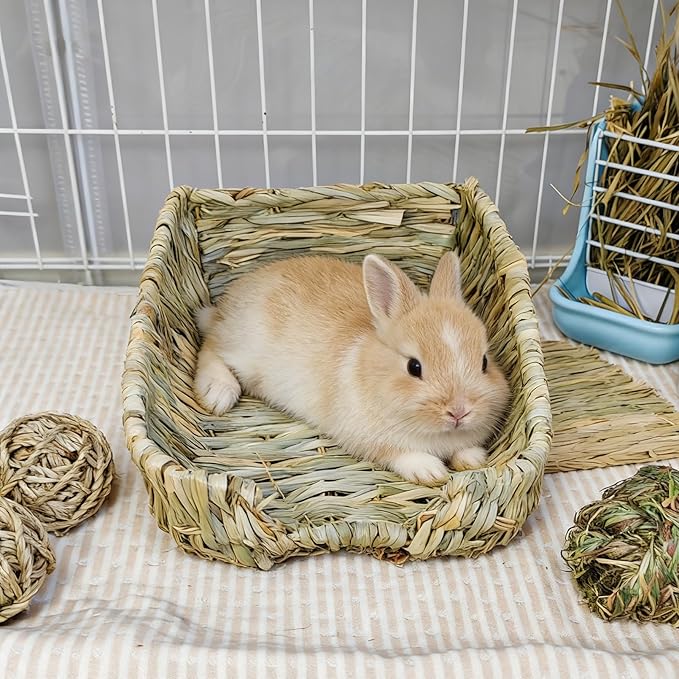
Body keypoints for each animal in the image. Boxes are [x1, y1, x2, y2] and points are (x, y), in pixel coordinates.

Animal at [194, 252, 510, 485]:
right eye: (414, 366)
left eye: (484, 362)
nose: (460, 411)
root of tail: (226, 305)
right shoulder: (368, 438)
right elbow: (400, 454)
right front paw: (430, 471)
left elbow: (466, 449)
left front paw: (472, 459)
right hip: (241, 350)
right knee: (210, 346)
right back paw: (218, 394)